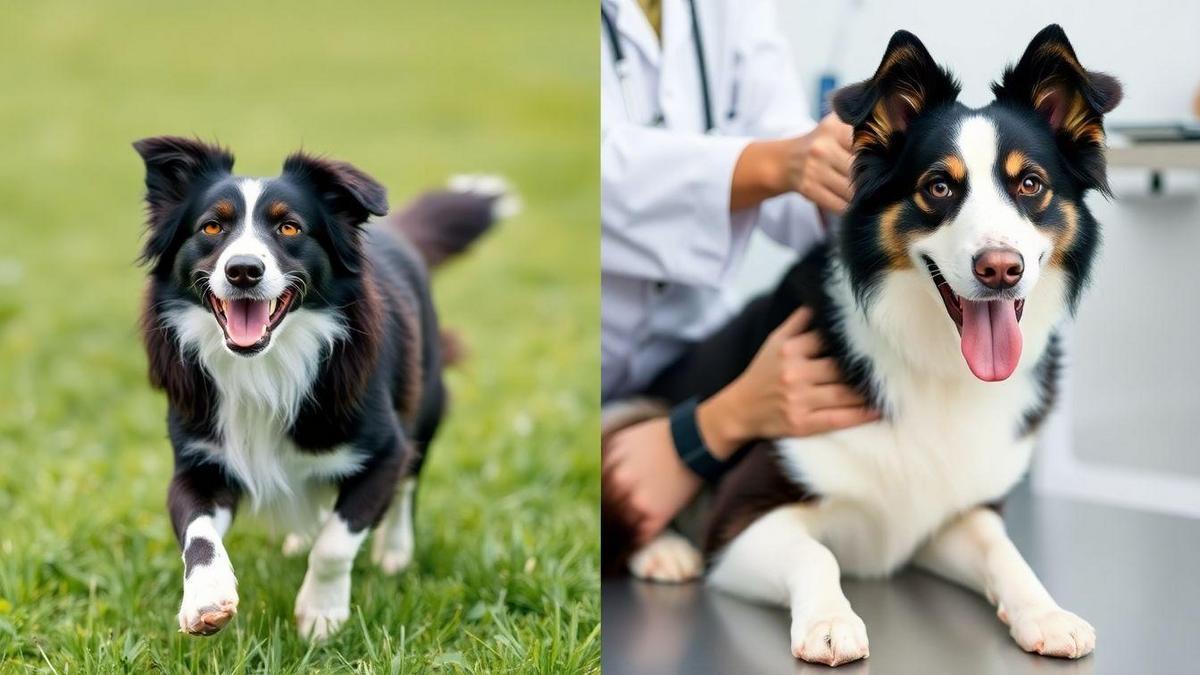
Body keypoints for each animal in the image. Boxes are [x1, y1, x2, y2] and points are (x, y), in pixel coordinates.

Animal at [133, 136, 513, 634]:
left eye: (290, 228)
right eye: (212, 226)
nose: (243, 270)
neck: (264, 367)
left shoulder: (384, 450)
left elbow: (336, 542)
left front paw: (320, 614)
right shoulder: (199, 459)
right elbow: (197, 532)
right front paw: (206, 599)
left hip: (426, 399)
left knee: (410, 478)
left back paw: (394, 550)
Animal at [624, 24, 1118, 662]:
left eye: (1030, 184)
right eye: (939, 186)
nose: (1000, 269)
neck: (935, 363)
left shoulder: (948, 514)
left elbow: (1004, 551)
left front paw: (1047, 612)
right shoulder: (735, 523)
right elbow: (817, 553)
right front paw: (830, 623)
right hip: (641, 403)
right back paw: (664, 549)